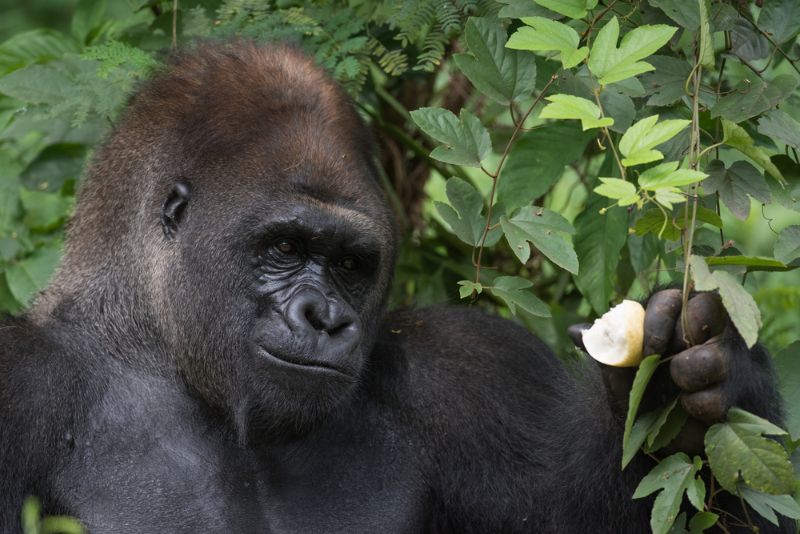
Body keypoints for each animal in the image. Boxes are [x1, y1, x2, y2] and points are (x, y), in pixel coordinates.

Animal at [0, 39, 792, 532]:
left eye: (351, 264)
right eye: (283, 247)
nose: (325, 318)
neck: (157, 349)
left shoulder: (469, 370)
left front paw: (693, 392)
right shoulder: (21, 386)